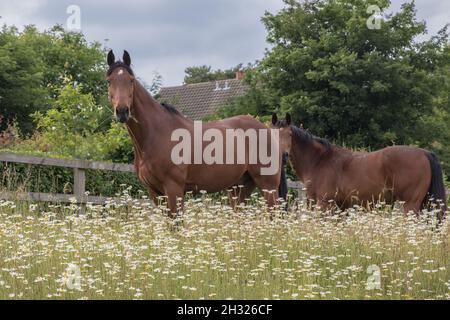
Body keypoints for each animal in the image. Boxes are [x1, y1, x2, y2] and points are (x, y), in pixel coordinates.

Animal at [107, 50, 286, 216]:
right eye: (109, 81)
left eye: (131, 80)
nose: (122, 111)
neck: (155, 135)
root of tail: (268, 131)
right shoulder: (155, 192)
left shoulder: (174, 189)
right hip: (240, 188)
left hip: (268, 186)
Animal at [270, 112, 446, 220]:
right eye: (271, 133)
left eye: (290, 134)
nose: (283, 156)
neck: (319, 160)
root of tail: (425, 153)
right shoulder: (341, 207)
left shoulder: (325, 204)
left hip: (410, 204)